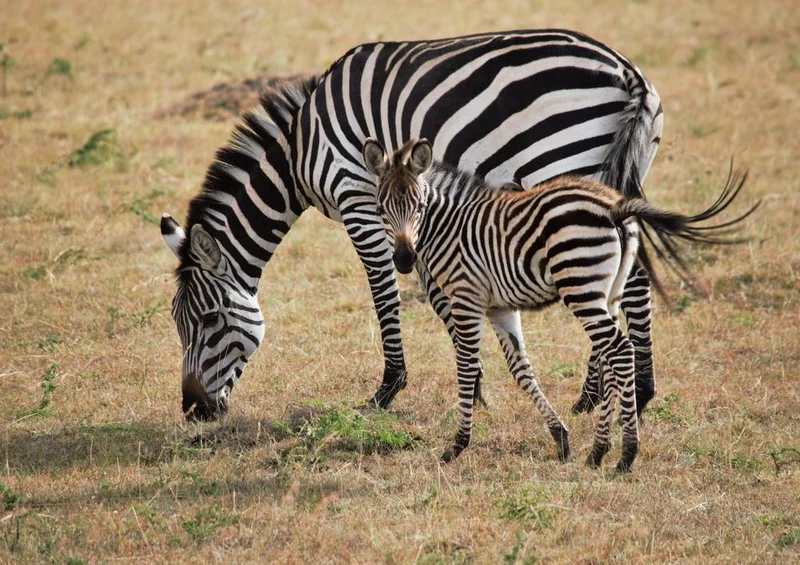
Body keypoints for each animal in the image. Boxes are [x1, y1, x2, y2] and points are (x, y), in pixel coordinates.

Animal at [160, 29, 664, 421]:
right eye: (177, 323)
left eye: (208, 319)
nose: (193, 410)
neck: (299, 149)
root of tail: (628, 72)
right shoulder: (409, 212)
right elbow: (438, 294)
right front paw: (475, 386)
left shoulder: (358, 198)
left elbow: (384, 291)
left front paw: (389, 388)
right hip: (619, 173)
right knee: (629, 271)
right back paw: (621, 393)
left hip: (564, 162)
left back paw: (615, 394)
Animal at [362, 137, 753, 471]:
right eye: (380, 209)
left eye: (419, 207)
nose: (404, 260)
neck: (449, 227)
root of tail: (614, 206)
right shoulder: (499, 307)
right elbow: (520, 370)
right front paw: (560, 438)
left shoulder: (466, 297)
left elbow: (467, 366)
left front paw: (456, 445)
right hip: (608, 292)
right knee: (609, 355)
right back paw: (597, 453)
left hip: (580, 285)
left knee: (619, 350)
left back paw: (626, 454)